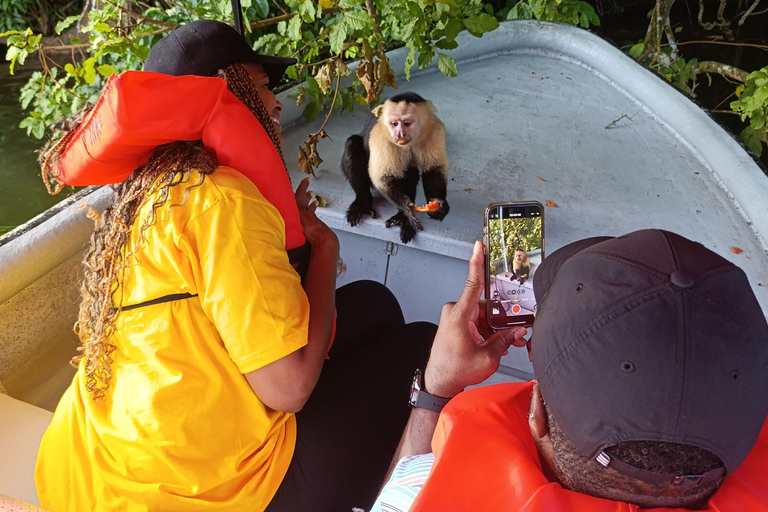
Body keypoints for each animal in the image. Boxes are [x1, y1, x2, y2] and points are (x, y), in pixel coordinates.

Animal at [342, 92, 450, 244]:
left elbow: (434, 170)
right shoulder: (380, 135)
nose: (399, 133)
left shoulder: (435, 130)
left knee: (411, 171)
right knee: (352, 144)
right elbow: (383, 177)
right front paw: (405, 208)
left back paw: (403, 219)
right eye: (394, 124)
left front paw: (439, 207)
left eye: (406, 123)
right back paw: (363, 201)